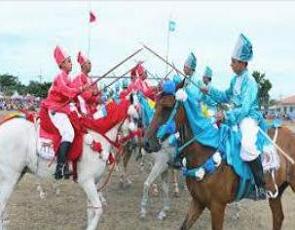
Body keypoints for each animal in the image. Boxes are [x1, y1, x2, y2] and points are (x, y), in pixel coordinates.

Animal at [0, 104, 139, 230]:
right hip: (9, 178)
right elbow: (98, 209)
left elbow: (91, 210)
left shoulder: (94, 182)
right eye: (136, 118)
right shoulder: (87, 181)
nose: (136, 144)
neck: (97, 136)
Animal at [145, 92, 295, 230]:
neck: (206, 153)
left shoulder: (218, 207)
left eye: (167, 107)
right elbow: (184, 226)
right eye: (156, 105)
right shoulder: (198, 202)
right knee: (278, 217)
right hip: (275, 192)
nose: (147, 143)